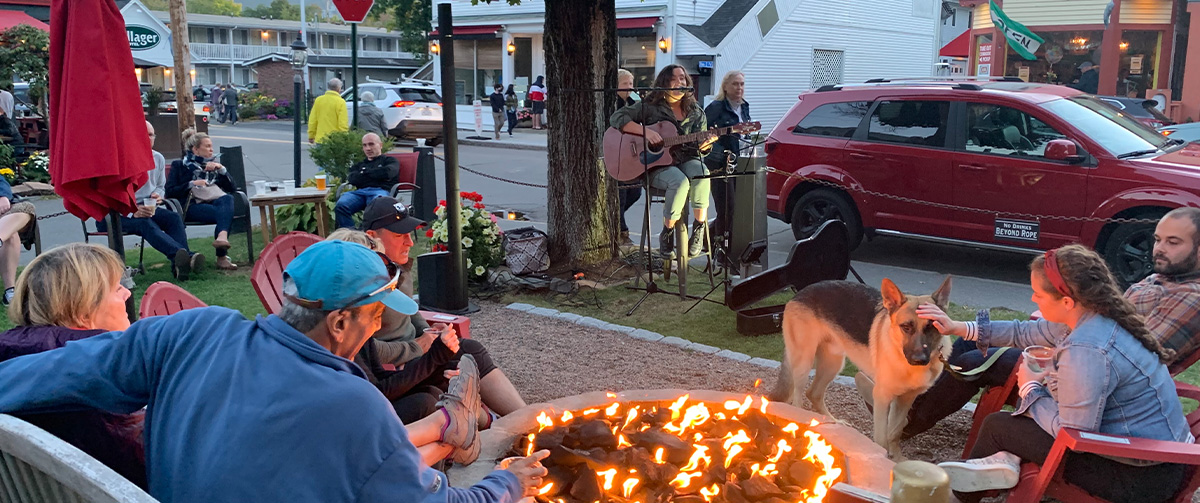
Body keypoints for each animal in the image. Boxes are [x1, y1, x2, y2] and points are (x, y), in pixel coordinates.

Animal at [768, 277, 955, 458]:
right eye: (906, 327)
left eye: (931, 326)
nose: (919, 360)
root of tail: (800, 293)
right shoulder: (882, 399)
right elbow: (881, 439)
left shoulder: (905, 400)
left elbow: (894, 433)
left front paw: (897, 461)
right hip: (804, 363)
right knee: (797, 400)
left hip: (833, 364)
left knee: (813, 393)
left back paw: (833, 423)